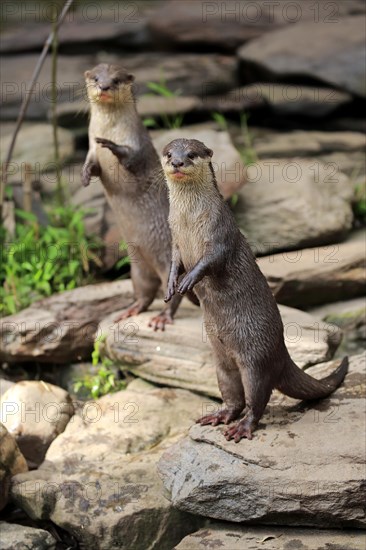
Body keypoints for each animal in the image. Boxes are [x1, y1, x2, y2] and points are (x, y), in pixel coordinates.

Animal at [82, 64, 194, 332]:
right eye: (96, 78)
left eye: (115, 80)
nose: (104, 86)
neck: (110, 128)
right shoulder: (90, 150)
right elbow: (92, 165)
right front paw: (85, 175)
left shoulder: (139, 146)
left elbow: (132, 157)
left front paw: (111, 145)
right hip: (138, 269)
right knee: (145, 293)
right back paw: (130, 310)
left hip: (168, 262)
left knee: (172, 292)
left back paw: (162, 317)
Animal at [163, 139, 348, 444]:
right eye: (168, 154)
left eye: (191, 154)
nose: (177, 162)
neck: (189, 222)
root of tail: (282, 354)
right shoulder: (175, 241)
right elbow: (173, 263)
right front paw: (170, 285)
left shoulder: (220, 232)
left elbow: (210, 261)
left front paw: (189, 280)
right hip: (222, 363)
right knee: (233, 396)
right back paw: (220, 415)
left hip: (256, 360)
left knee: (257, 399)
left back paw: (242, 428)